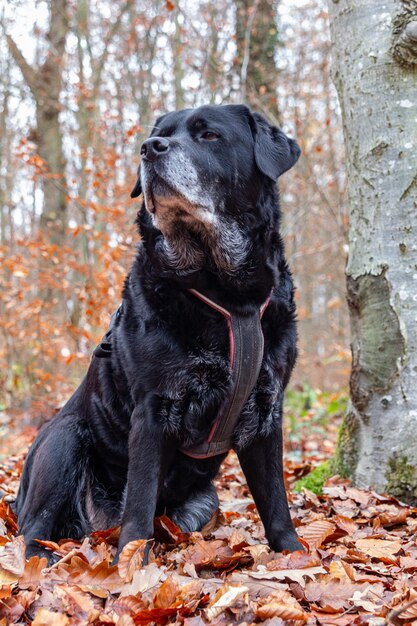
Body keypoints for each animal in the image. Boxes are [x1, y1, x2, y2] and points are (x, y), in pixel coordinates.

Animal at [14, 105, 300, 560]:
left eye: (209, 135)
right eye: (159, 134)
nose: (150, 148)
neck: (224, 293)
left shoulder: (268, 408)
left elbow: (275, 498)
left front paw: (293, 554)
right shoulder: (152, 410)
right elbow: (140, 503)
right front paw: (131, 565)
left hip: (206, 498)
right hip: (64, 439)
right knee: (33, 528)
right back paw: (40, 560)